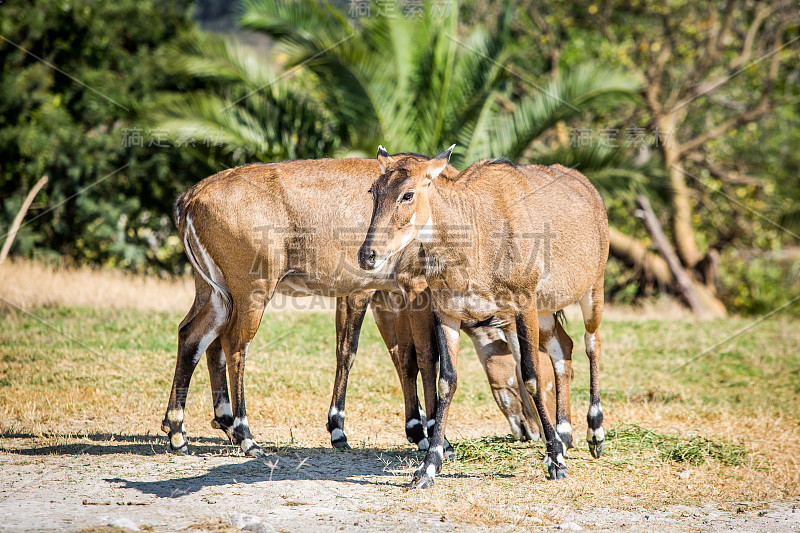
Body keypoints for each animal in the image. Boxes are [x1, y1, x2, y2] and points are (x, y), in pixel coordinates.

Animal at [161, 157, 564, 458]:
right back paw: (244, 434)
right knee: (233, 345)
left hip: (216, 293)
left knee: (194, 335)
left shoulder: (384, 294)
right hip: (252, 291)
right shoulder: (410, 290)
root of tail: (189, 198)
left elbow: (396, 356)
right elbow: (423, 357)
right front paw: (437, 439)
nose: (533, 431)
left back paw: (181, 430)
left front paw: (413, 431)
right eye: (524, 362)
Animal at [356, 145, 608, 486]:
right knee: (563, 348)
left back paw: (594, 434)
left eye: (408, 194)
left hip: (592, 290)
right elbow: (446, 381)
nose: (368, 255)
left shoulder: (523, 303)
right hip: (545, 310)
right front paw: (428, 467)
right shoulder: (447, 311)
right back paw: (565, 435)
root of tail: (589, 188)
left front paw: (555, 461)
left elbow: (530, 376)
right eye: (374, 190)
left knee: (591, 343)